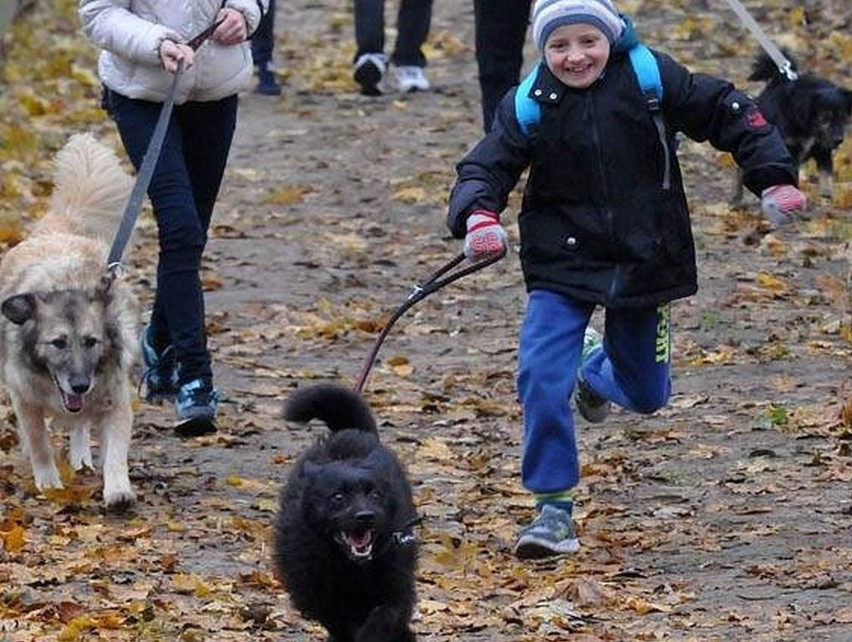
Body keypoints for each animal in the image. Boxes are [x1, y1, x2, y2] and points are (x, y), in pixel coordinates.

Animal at [0, 134, 140, 510]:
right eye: (58, 343)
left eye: (92, 342)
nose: (79, 385)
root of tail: (62, 225)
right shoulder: (25, 397)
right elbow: (39, 442)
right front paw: (48, 482)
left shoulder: (114, 396)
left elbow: (116, 450)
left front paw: (118, 489)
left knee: (80, 424)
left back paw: (81, 455)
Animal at [274, 384, 418, 640]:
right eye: (338, 497)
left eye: (375, 494)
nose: (366, 516)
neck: (350, 566)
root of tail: (349, 432)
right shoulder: (318, 595)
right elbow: (336, 621)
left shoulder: (397, 585)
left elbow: (385, 615)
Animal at [732, 51, 852, 204]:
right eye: (823, 119)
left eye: (843, 118)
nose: (839, 140)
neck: (808, 128)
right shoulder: (789, 150)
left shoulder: (823, 150)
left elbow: (826, 175)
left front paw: (827, 196)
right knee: (741, 169)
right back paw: (737, 198)